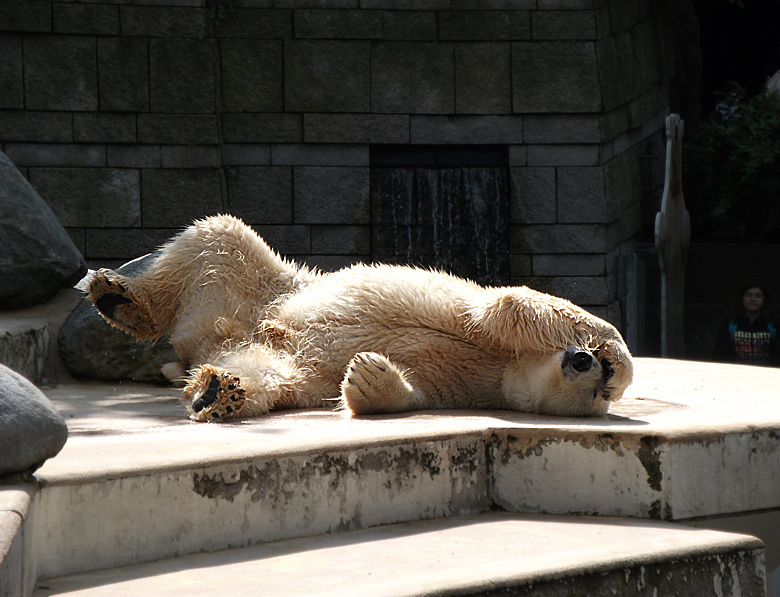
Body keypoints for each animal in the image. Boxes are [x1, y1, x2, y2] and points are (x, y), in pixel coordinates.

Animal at [87, 213, 632, 420]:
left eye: (594, 395)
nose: (584, 361)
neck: (499, 367)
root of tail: (200, 342)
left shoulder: (466, 384)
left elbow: (412, 391)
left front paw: (370, 377)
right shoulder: (479, 329)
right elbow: (510, 306)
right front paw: (613, 347)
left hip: (268, 347)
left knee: (269, 372)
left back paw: (216, 392)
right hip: (264, 285)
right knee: (219, 236)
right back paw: (117, 295)